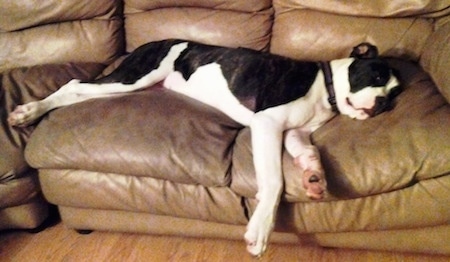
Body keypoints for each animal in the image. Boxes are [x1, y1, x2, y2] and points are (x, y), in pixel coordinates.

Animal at [7, 39, 400, 256]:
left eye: (396, 94)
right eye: (377, 75)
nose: (384, 105)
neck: (325, 88)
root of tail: (149, 43)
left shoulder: (293, 134)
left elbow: (310, 153)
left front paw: (315, 178)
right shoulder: (267, 124)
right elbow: (273, 183)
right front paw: (260, 230)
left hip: (129, 87)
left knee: (77, 92)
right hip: (133, 77)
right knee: (73, 85)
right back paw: (27, 111)